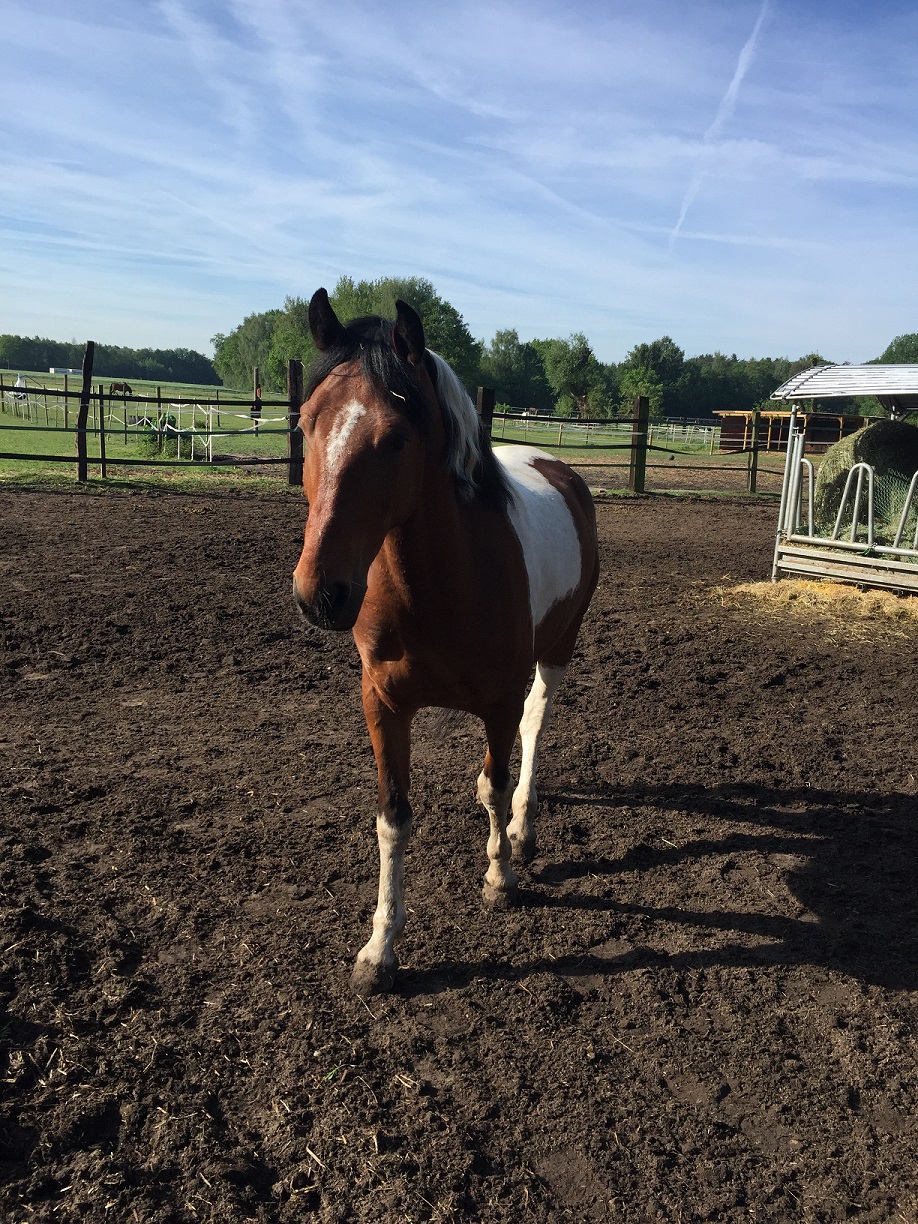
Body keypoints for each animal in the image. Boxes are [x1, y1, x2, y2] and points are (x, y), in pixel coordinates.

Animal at [292, 289, 599, 995]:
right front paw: (380, 948)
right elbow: (393, 816)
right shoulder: (383, 705)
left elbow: (494, 784)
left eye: (397, 438)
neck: (439, 587)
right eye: (305, 424)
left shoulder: (498, 704)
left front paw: (499, 877)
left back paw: (524, 827)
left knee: (537, 725)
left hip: (558, 648)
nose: (321, 594)